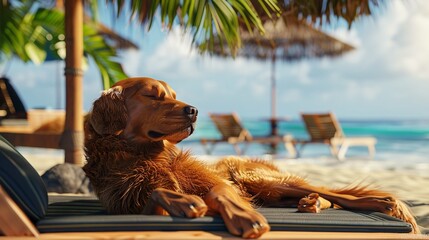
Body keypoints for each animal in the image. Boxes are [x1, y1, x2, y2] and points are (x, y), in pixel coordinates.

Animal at [83, 77, 418, 238]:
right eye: (152, 96)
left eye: (174, 96)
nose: (194, 110)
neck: (142, 155)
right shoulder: (126, 204)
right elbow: (157, 194)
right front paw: (184, 202)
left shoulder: (220, 183)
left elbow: (218, 192)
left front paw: (245, 217)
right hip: (267, 191)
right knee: (326, 197)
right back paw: (310, 204)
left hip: (255, 177)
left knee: (337, 194)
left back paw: (383, 203)